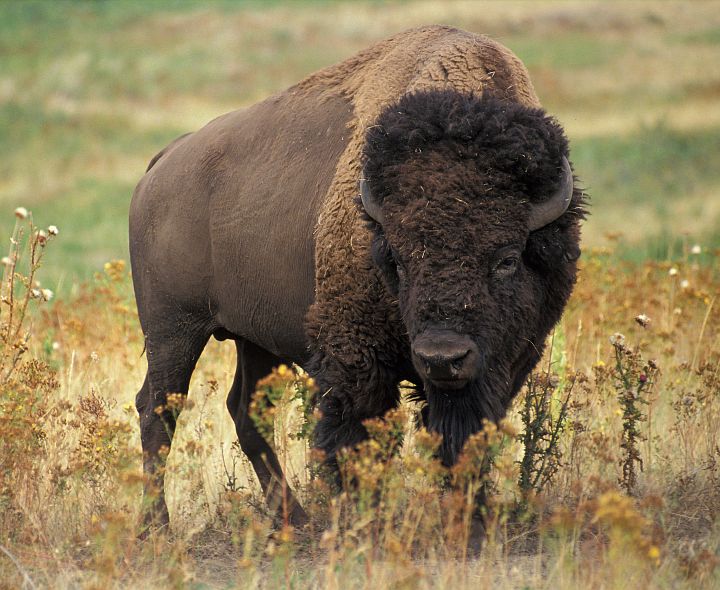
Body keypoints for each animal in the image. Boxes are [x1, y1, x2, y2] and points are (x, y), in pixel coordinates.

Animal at [131, 25, 584, 528]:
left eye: (506, 259)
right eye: (398, 260)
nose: (442, 357)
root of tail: (164, 162)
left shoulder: (504, 363)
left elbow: (464, 438)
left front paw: (470, 519)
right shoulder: (355, 358)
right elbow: (356, 439)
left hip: (253, 338)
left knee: (244, 410)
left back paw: (294, 520)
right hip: (173, 329)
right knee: (158, 408)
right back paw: (157, 526)